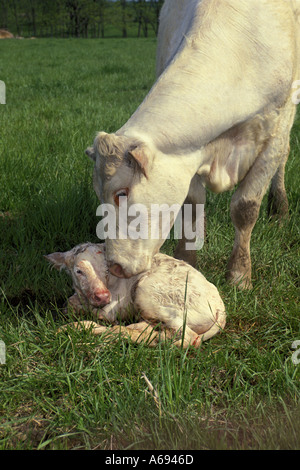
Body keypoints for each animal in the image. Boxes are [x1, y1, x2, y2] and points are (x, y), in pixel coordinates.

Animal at [45, 244, 226, 346]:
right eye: (79, 271)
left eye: (106, 270)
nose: (103, 296)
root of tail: (220, 307)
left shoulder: (112, 307)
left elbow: (98, 313)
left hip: (148, 293)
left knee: (188, 338)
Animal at [86, 0, 300, 288]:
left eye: (122, 193)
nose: (115, 267)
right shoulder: (190, 153)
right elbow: (191, 205)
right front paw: (186, 260)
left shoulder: (276, 126)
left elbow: (245, 207)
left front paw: (239, 275)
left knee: (283, 160)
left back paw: (279, 210)